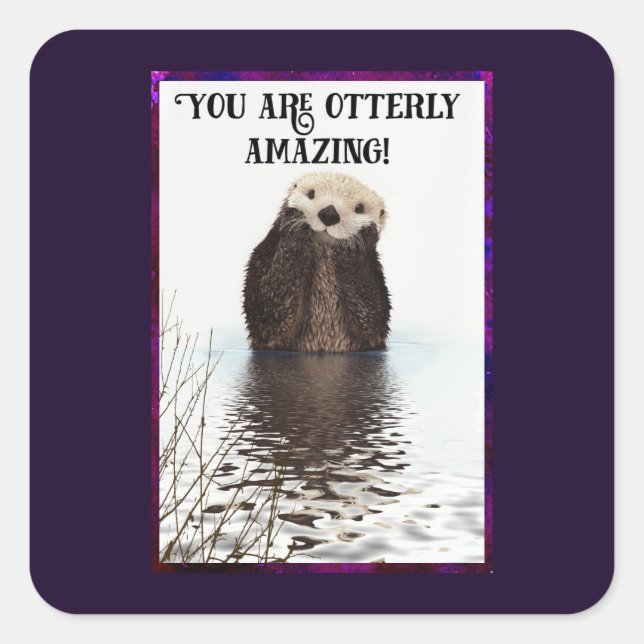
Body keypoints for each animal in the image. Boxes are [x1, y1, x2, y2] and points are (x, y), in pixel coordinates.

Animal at [243, 172, 391, 352]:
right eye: (311, 194)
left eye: (359, 208)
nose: (329, 214)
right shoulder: (262, 257)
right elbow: (267, 310)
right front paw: (294, 223)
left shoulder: (375, 278)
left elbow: (372, 316)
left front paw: (357, 241)